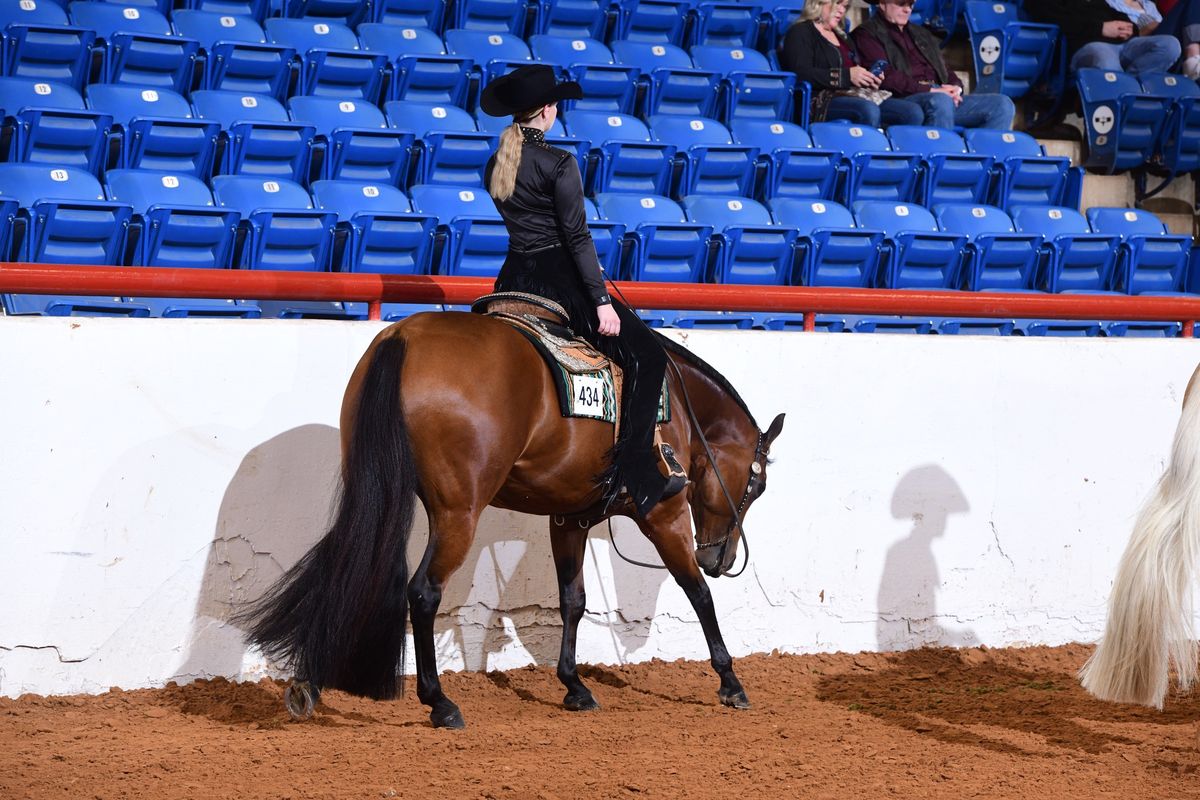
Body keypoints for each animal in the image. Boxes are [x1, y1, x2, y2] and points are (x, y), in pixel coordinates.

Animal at [237, 309, 782, 729]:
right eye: (755, 488)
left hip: (374, 487)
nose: (721, 557)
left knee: (350, 567)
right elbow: (698, 594)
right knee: (423, 592)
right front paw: (731, 682)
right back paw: (440, 704)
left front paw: (574, 687)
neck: (679, 408)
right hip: (458, 512)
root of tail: (402, 338)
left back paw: (308, 683)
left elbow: (573, 600)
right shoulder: (665, 515)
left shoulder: (568, 519)